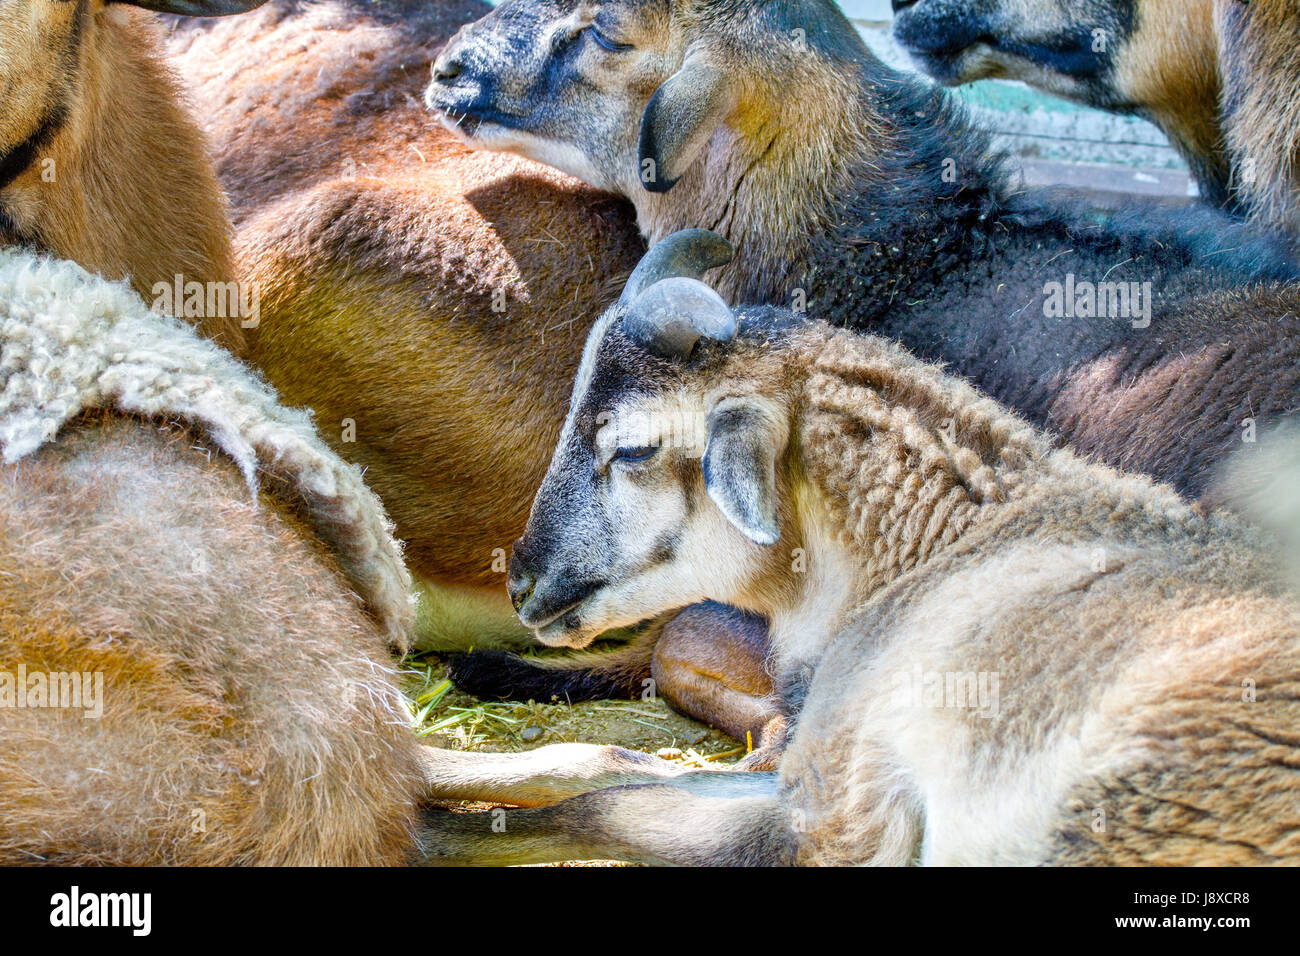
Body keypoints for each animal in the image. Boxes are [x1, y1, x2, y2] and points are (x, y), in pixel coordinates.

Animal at [420, 230, 1300, 866]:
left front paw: (429, 830)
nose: (523, 582)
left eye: (631, 449)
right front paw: (425, 768)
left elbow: (603, 807)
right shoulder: (796, 768)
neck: (928, 551)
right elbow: (599, 761)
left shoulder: (835, 815)